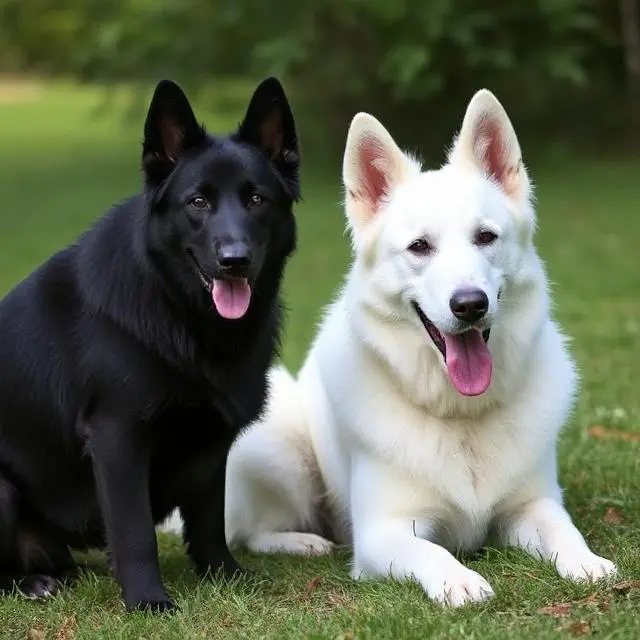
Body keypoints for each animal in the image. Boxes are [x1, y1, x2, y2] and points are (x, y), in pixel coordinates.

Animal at [0, 76, 300, 608]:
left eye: (257, 200)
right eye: (197, 202)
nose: (235, 261)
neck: (176, 308)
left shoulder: (211, 441)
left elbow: (209, 518)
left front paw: (223, 574)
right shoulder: (117, 436)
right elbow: (135, 528)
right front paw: (146, 599)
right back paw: (34, 584)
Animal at [165, 89, 616, 604]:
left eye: (486, 237)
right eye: (420, 247)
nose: (470, 305)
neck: (459, 415)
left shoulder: (533, 504)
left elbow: (564, 529)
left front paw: (587, 561)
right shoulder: (385, 533)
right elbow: (430, 551)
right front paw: (459, 579)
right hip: (278, 448)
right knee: (249, 532)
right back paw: (303, 542)